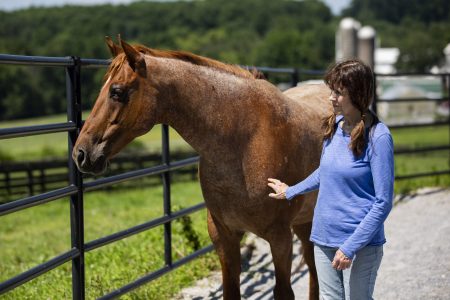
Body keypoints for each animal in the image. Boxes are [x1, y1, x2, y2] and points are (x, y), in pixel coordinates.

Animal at [73, 38, 330, 300]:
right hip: (304, 222)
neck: (245, 140)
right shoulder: (224, 236)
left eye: (116, 92)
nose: (81, 153)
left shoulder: (280, 238)